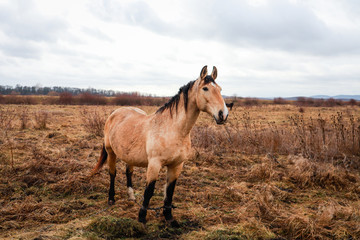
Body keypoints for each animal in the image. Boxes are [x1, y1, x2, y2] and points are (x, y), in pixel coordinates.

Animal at [91, 64, 229, 226]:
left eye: (220, 89)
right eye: (205, 88)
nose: (223, 114)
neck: (172, 129)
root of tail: (115, 113)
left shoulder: (176, 165)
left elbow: (169, 191)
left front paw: (169, 218)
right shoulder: (154, 164)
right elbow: (149, 191)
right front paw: (142, 218)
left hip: (129, 155)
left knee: (128, 172)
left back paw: (131, 197)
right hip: (111, 151)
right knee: (112, 173)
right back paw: (111, 199)